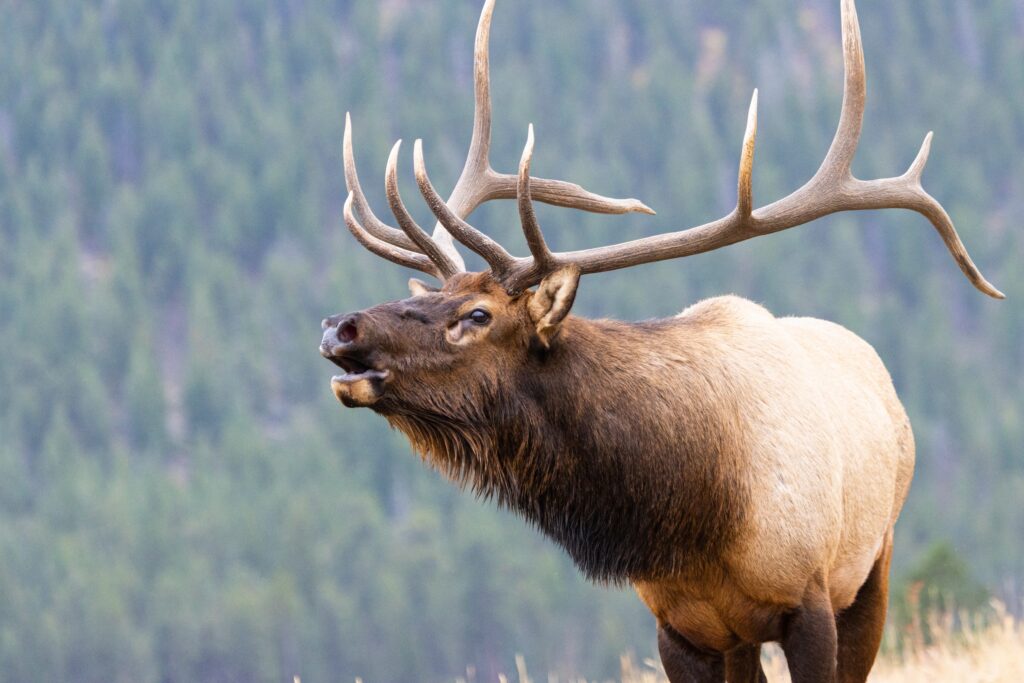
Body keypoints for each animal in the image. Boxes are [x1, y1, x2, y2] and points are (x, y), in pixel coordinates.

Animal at [319, 0, 1004, 680]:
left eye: (478, 314)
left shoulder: (808, 599)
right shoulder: (678, 626)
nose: (339, 326)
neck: (698, 515)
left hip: (871, 568)